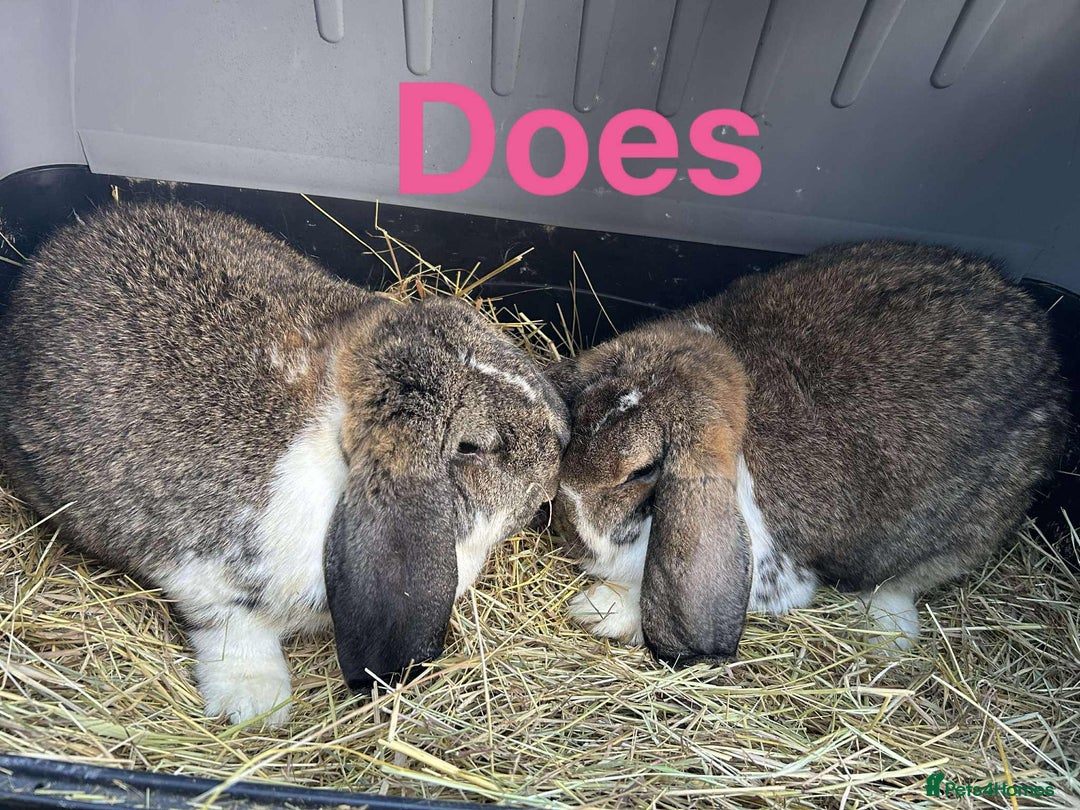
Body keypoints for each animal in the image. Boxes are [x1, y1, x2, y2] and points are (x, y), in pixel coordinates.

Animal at [547, 241, 1067, 664]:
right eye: (577, 422)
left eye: (643, 471)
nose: (567, 526)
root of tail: (1049, 359)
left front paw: (598, 609)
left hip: (961, 535)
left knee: (903, 581)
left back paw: (886, 634)